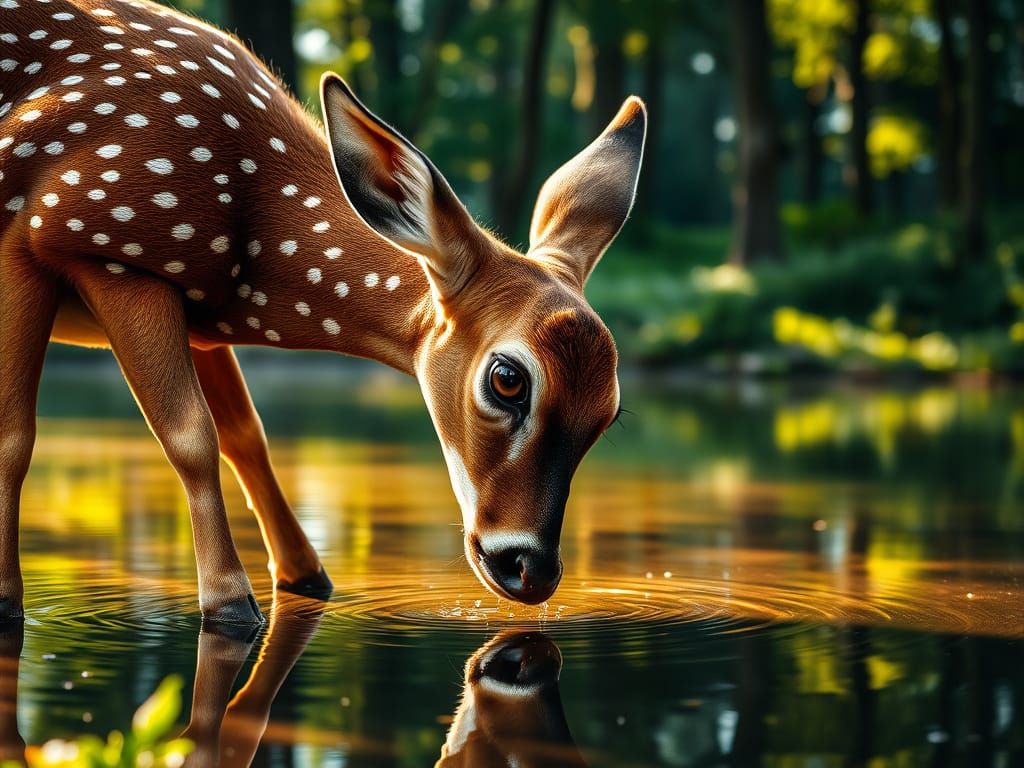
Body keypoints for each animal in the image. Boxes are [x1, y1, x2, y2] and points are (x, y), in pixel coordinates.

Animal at [0, 0, 646, 626]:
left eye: (610, 411)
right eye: (508, 379)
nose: (530, 570)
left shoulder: (200, 318)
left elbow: (243, 435)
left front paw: (306, 575)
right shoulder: (80, 243)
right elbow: (81, 435)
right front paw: (228, 602)